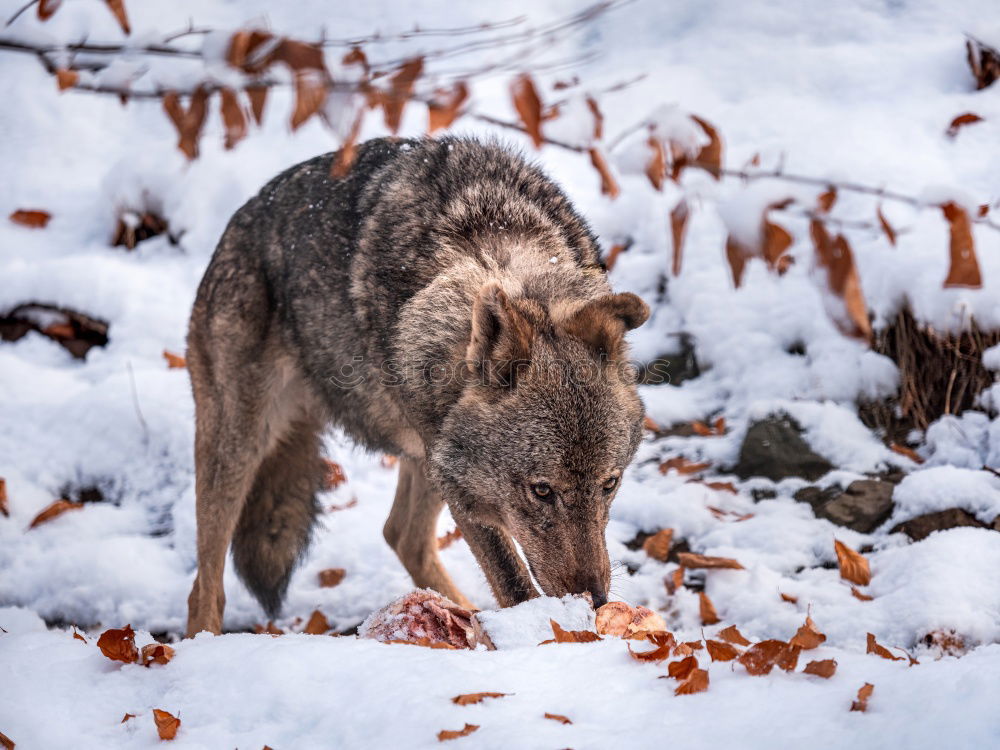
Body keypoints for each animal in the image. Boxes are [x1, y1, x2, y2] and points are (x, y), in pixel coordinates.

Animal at [185, 135, 652, 636]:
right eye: (542, 490)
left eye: (609, 484)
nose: (596, 600)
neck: (495, 252)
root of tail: (241, 219)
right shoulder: (463, 491)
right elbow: (515, 586)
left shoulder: (447, 462)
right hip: (241, 446)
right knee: (205, 587)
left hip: (428, 453)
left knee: (400, 535)